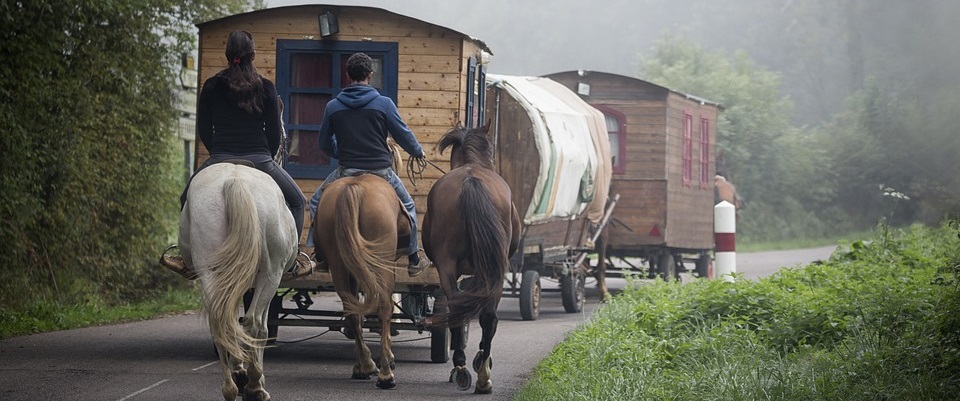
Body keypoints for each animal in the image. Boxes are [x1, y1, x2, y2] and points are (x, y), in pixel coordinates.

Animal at [312, 173, 408, 390]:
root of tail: (354, 187)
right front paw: (388, 358)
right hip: (381, 263)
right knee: (384, 307)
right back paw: (385, 374)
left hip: (339, 264)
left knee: (351, 310)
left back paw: (364, 365)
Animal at [424, 122, 520, 394]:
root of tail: (471, 181)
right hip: (492, 270)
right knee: (485, 316)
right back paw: (481, 372)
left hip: (450, 268)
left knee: (460, 309)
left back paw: (463, 368)